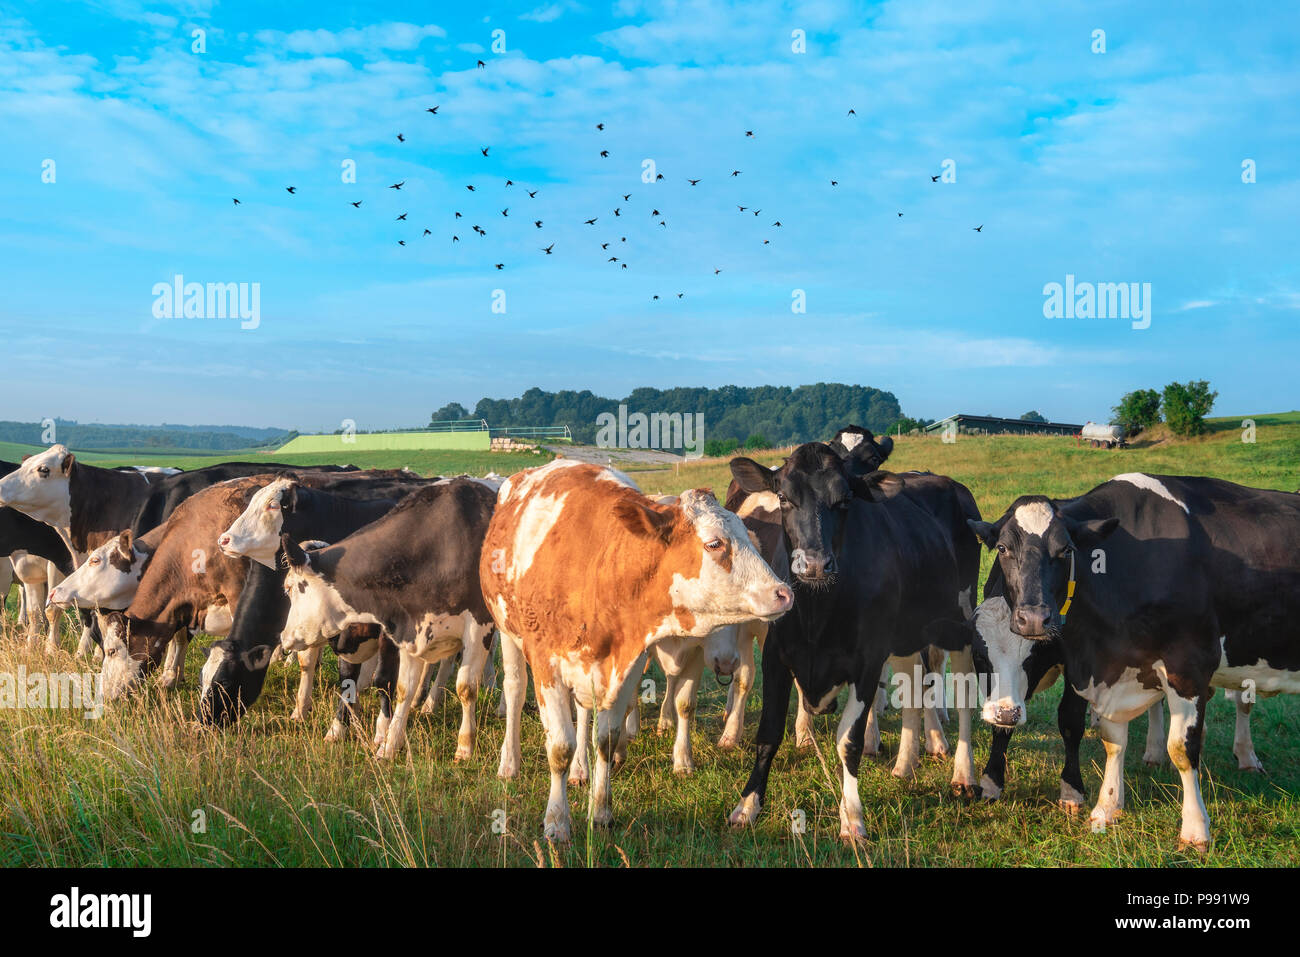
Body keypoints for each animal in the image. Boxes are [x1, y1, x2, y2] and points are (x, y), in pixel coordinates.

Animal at [480, 460, 790, 842]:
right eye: (715, 543)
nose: (784, 593)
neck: (601, 569)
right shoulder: (546, 665)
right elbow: (560, 747)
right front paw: (556, 821)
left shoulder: (627, 664)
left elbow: (607, 738)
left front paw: (601, 811)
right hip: (508, 633)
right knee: (514, 688)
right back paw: (510, 762)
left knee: (583, 711)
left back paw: (581, 770)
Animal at [728, 444, 977, 842]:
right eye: (783, 497)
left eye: (845, 500)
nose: (814, 564)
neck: (817, 613)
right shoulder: (775, 657)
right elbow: (767, 734)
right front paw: (747, 806)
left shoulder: (868, 660)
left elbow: (849, 740)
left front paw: (852, 817)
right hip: (908, 632)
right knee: (915, 688)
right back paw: (905, 765)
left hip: (960, 621)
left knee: (965, 693)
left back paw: (963, 774)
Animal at [972, 468, 1300, 847]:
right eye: (1003, 548)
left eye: (1066, 549)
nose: (1034, 618)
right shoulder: (1112, 669)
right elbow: (1113, 740)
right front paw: (1107, 808)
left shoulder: (1189, 663)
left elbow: (1182, 748)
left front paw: (1195, 830)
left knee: (1240, 702)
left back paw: (1243, 756)